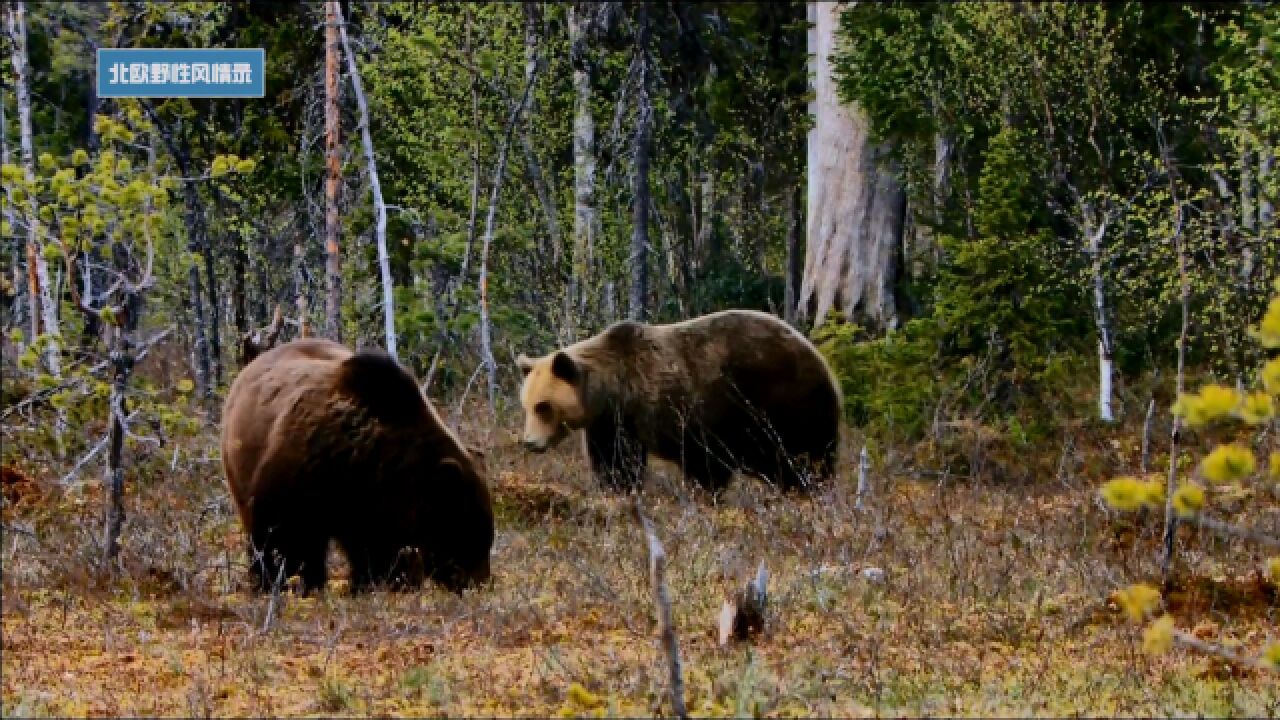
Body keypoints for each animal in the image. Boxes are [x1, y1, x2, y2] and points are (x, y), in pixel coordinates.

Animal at [222, 338, 491, 591]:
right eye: (467, 534)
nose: (478, 583)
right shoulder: (297, 479)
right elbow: (285, 541)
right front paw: (291, 584)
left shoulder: (372, 508)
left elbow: (380, 556)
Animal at [514, 308, 844, 486]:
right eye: (526, 406)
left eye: (544, 406)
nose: (530, 443)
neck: (616, 391)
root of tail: (823, 363)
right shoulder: (612, 423)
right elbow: (614, 462)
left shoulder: (690, 409)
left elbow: (705, 462)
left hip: (784, 403)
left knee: (802, 455)